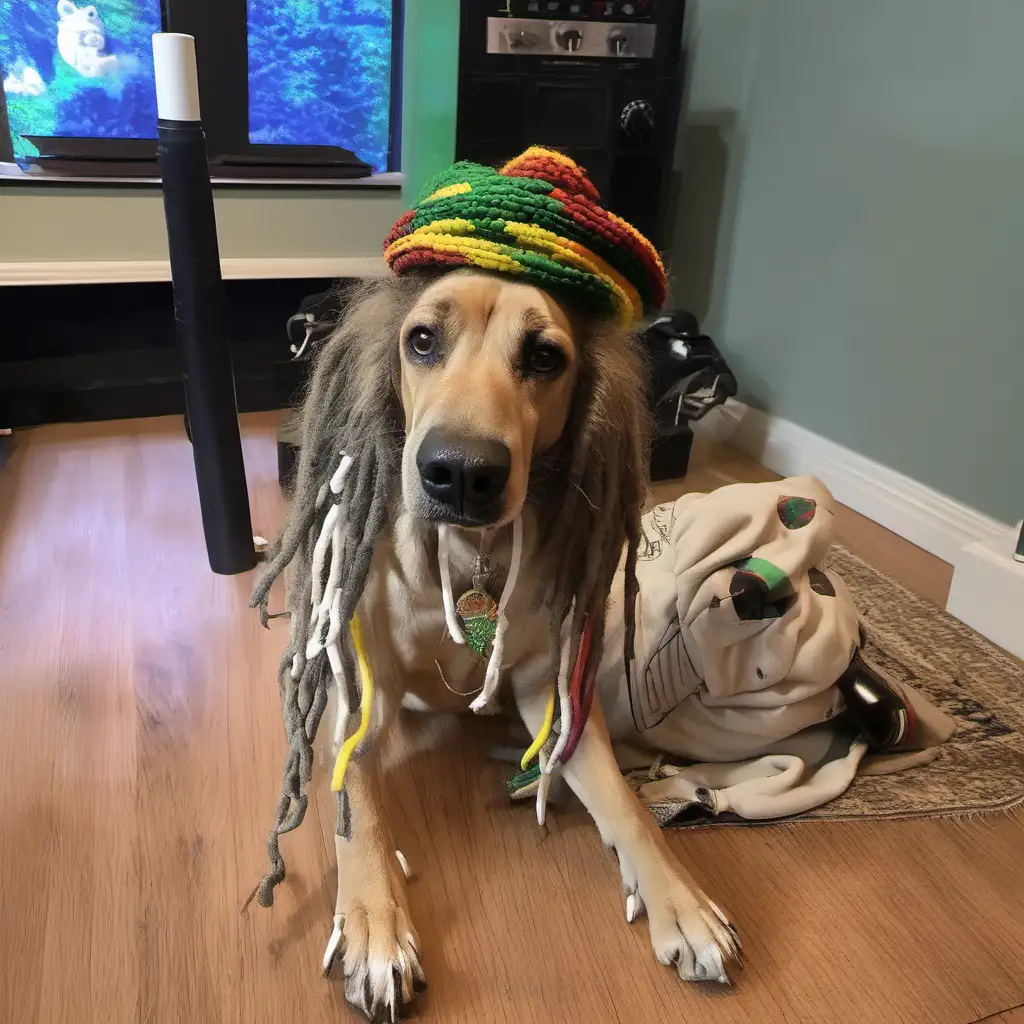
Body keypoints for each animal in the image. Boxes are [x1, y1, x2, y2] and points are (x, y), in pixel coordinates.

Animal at [252, 268, 741, 1019]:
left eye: (544, 356)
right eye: (422, 340)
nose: (460, 472)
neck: (469, 555)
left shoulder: (551, 688)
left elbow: (627, 806)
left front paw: (682, 903)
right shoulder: (360, 692)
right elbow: (355, 806)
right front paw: (375, 926)